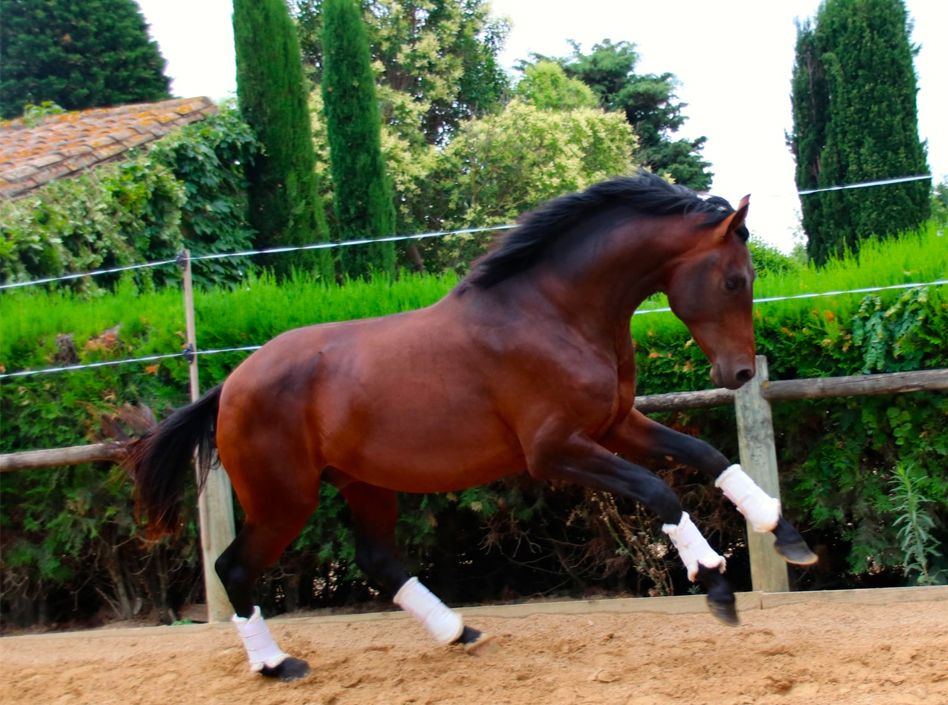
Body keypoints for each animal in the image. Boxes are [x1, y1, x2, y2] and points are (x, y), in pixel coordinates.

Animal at [130, 172, 820, 680]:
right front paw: (714, 581)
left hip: (362, 482)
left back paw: (459, 631)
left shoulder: (615, 424)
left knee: (377, 559)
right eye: (733, 279)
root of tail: (230, 386)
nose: (738, 372)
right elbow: (659, 490)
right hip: (285, 498)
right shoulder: (555, 450)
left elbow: (706, 455)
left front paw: (785, 536)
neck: (554, 312)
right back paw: (277, 664)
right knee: (234, 569)